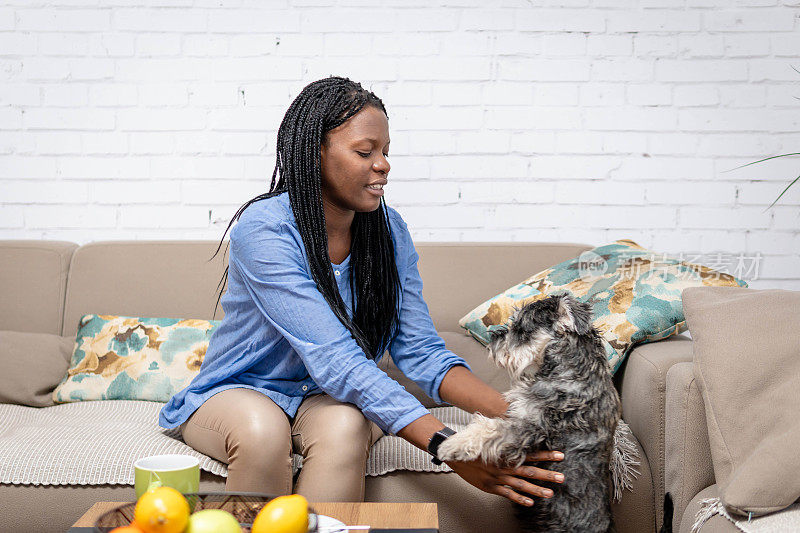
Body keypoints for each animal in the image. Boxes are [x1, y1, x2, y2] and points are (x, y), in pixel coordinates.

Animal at [438, 294, 620, 528]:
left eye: (521, 329)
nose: (493, 339)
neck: (574, 371)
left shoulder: (530, 427)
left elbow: (488, 429)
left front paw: (451, 445)